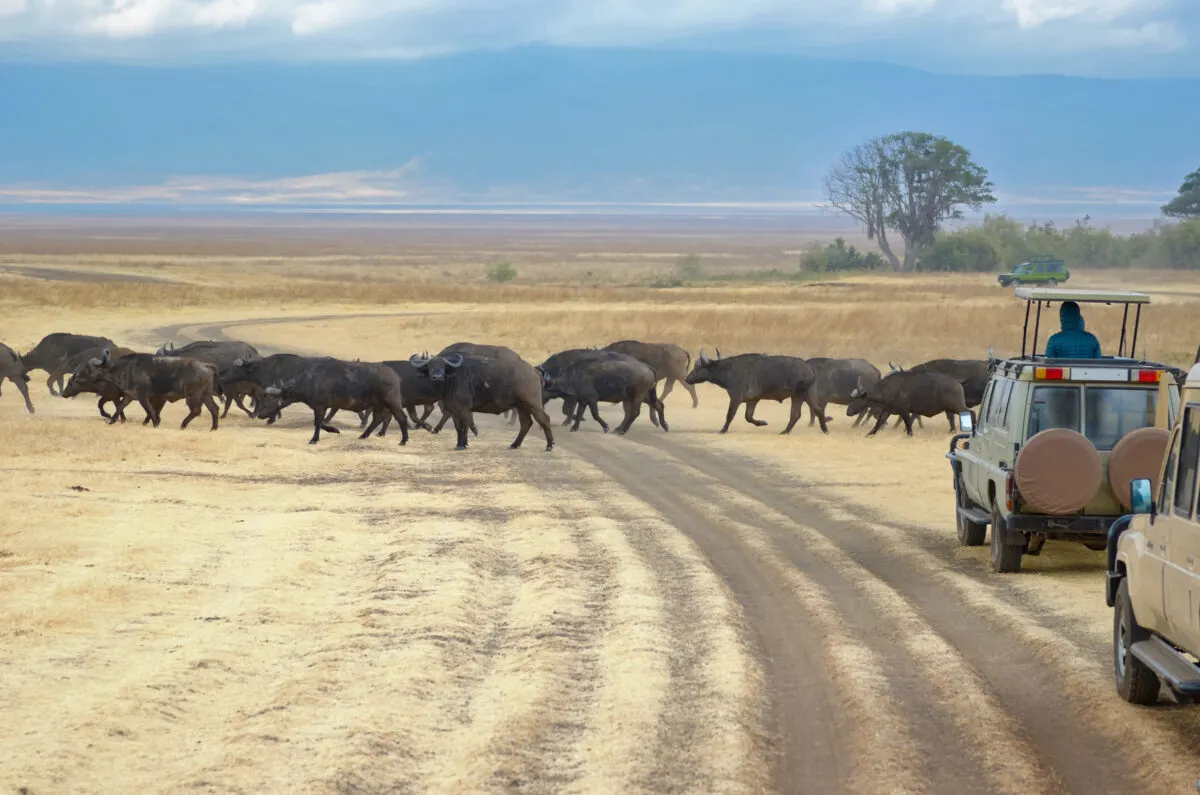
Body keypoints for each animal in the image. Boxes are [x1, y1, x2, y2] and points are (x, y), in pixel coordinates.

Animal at [250, 357, 410, 444]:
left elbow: (317, 423)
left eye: (268, 399)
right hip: (378, 404)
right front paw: (334, 430)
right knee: (377, 419)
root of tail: (394, 374)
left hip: (391, 401)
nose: (260, 415)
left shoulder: (320, 406)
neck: (311, 380)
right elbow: (321, 422)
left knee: (401, 417)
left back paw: (403, 440)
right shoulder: (323, 407)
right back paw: (363, 435)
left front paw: (314, 439)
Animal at [405, 355, 549, 453]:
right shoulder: (454, 410)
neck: (452, 380)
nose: (437, 377)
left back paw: (549, 445)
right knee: (526, 423)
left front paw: (462, 445)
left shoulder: (464, 409)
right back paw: (514, 444)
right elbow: (458, 427)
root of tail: (534, 370)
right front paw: (459, 444)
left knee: (544, 419)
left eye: (443, 367)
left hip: (532, 403)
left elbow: (465, 426)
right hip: (521, 406)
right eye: (430, 367)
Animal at [686, 350, 816, 437]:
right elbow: (748, 417)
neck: (728, 370)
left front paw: (723, 430)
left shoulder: (735, 398)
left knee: (799, 413)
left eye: (697, 368)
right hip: (800, 396)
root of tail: (809, 368)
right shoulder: (752, 400)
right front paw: (762, 423)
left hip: (799, 395)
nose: (687, 379)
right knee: (800, 413)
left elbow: (730, 415)